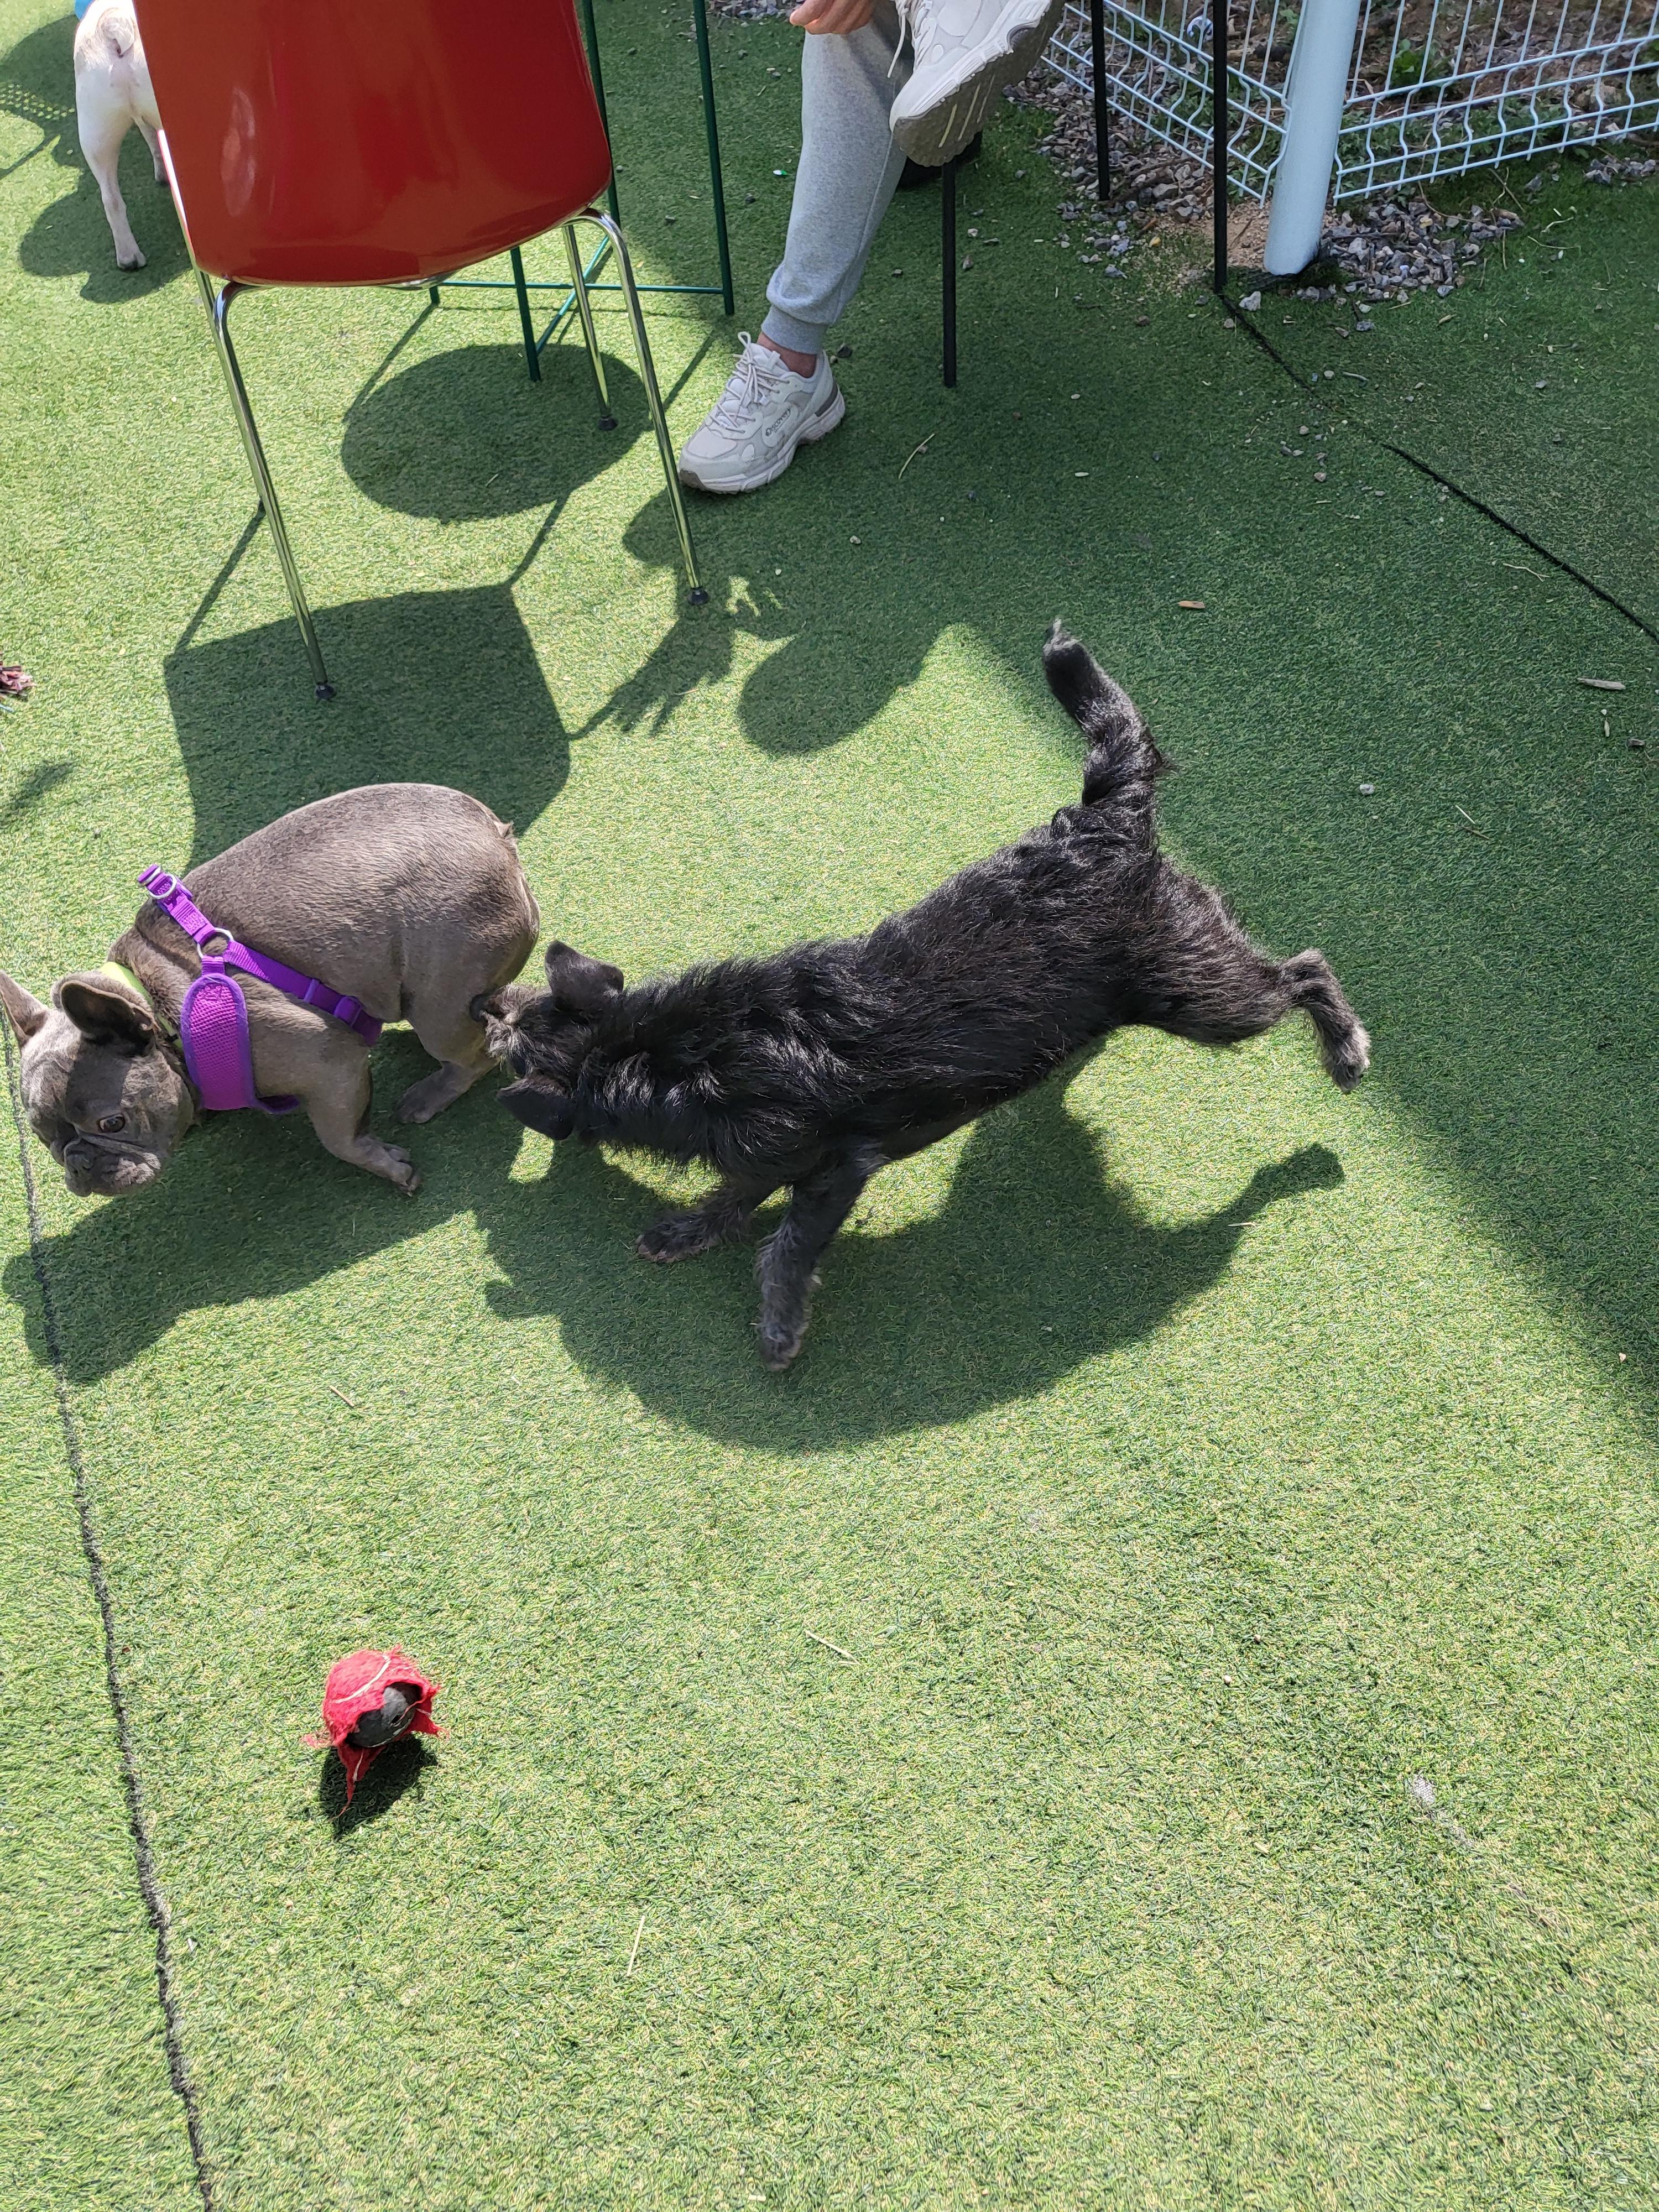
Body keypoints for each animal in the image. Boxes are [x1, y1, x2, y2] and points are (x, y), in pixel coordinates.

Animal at [1, 784, 539, 1199]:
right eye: (43, 1139)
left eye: (113, 1124)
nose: (79, 1162)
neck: (164, 1009)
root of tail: (498, 838)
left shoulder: (331, 1063)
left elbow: (339, 1137)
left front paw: (387, 1166)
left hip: (442, 1003)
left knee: (472, 1057)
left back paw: (430, 1093)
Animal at [484, 626, 1370, 1368]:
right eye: (516, 1012)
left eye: (509, 1043)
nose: (481, 1009)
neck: (671, 1047)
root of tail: (1105, 824)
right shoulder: (767, 1152)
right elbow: (737, 1191)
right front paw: (691, 1229)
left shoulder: (836, 1168)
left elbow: (787, 1244)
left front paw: (778, 1323)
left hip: (1201, 993)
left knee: (1304, 971)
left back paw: (1345, 1048)